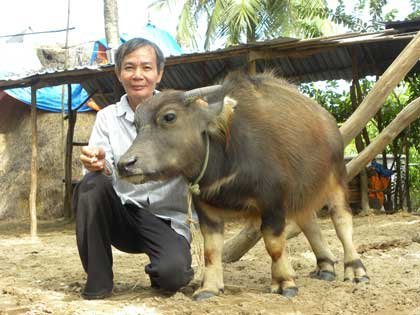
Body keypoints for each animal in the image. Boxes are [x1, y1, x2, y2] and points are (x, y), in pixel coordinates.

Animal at [117, 71, 368, 302]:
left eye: (169, 116)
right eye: (137, 125)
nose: (124, 164)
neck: (226, 156)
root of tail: (328, 121)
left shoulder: (273, 202)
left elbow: (274, 244)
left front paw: (284, 282)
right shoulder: (206, 210)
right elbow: (211, 251)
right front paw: (209, 287)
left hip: (336, 178)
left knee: (341, 220)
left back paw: (355, 269)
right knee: (309, 222)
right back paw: (325, 267)